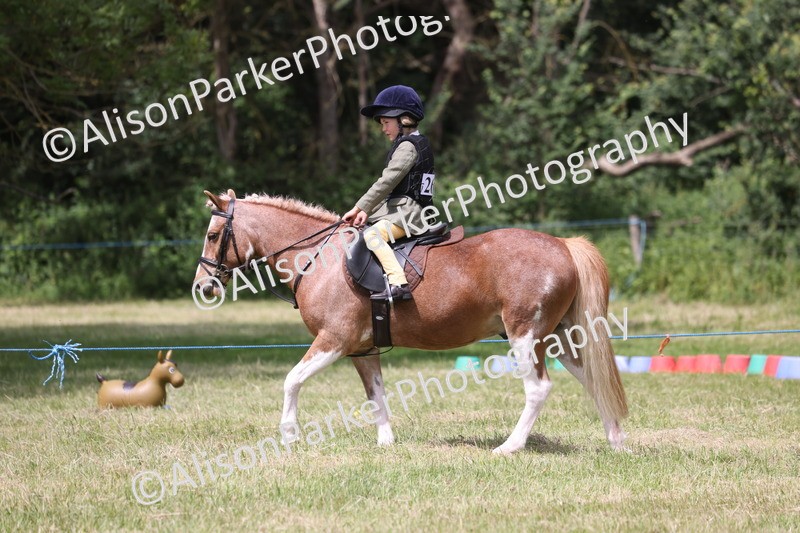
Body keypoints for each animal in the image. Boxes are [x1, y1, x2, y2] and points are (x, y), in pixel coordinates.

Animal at [193, 189, 628, 454]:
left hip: (526, 337)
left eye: (213, 235)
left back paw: (510, 446)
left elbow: (291, 380)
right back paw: (616, 439)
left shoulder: (334, 339)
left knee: (538, 389)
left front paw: (289, 436)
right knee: (593, 378)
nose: (203, 286)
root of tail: (563, 245)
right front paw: (386, 443)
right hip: (558, 338)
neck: (319, 257)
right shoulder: (363, 349)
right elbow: (377, 395)